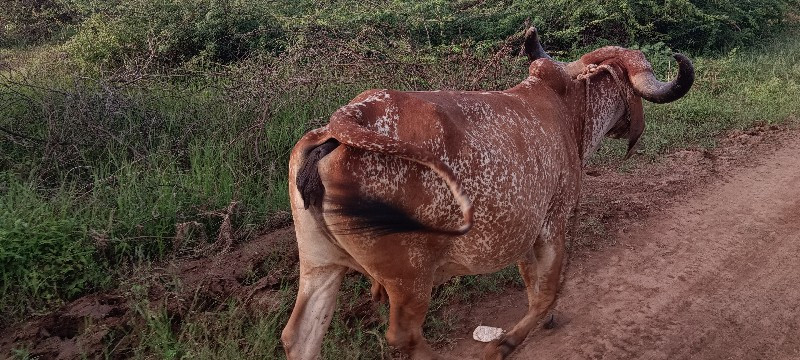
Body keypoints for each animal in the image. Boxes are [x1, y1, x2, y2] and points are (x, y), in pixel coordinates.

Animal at [282, 28, 692, 360]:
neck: (567, 106)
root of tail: (342, 124)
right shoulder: (555, 220)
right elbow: (547, 290)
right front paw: (507, 343)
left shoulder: (527, 230)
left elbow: (535, 287)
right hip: (409, 277)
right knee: (403, 335)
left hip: (320, 264)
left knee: (297, 336)